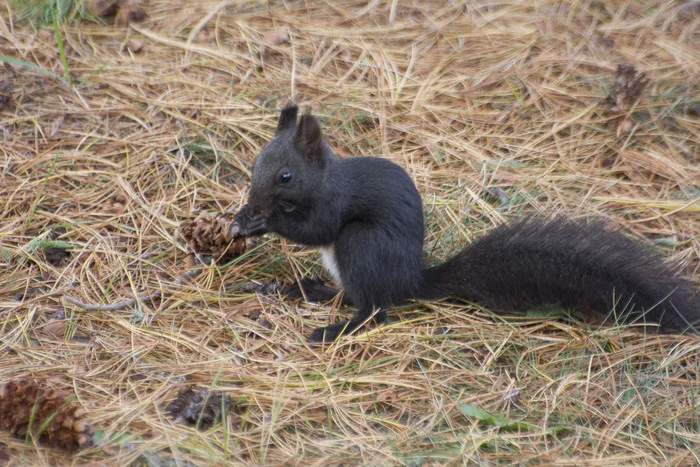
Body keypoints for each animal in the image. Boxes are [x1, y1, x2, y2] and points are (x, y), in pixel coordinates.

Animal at [234, 104, 696, 342]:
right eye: (254, 163)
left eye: (285, 176)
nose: (252, 202)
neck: (323, 179)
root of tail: (412, 280)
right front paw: (241, 218)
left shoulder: (334, 204)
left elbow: (314, 230)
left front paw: (262, 222)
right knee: (355, 295)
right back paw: (310, 290)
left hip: (360, 245)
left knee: (374, 309)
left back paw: (333, 329)